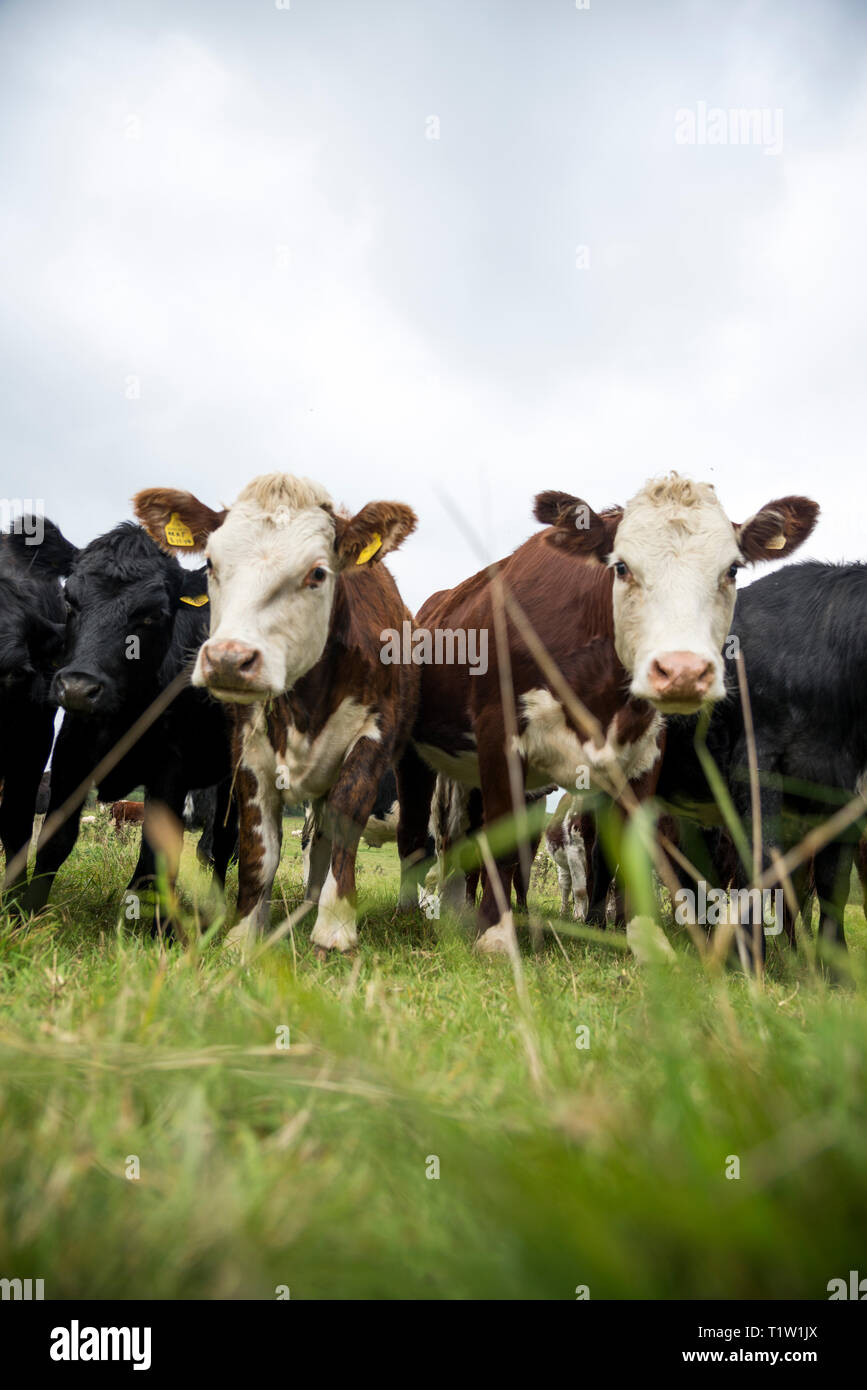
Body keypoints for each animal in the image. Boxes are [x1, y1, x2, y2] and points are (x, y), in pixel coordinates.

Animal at [22, 521, 237, 924]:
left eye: (152, 615)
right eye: (69, 601)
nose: (79, 688)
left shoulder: (171, 769)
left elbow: (158, 855)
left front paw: (156, 928)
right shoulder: (70, 753)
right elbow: (55, 839)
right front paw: (29, 914)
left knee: (223, 841)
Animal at [132, 473, 419, 956]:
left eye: (318, 573)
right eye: (210, 562)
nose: (228, 659)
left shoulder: (375, 738)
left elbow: (345, 823)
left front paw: (335, 928)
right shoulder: (247, 751)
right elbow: (258, 847)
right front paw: (244, 932)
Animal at [397, 475, 819, 954]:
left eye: (731, 569)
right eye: (621, 567)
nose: (683, 671)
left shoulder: (643, 756)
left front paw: (647, 940)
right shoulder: (499, 736)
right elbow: (502, 844)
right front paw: (496, 935)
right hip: (412, 754)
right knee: (415, 835)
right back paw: (410, 912)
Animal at [657, 561, 867, 966]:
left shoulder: (842, 790)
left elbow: (833, 882)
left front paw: (835, 970)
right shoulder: (755, 764)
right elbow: (757, 860)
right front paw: (751, 960)